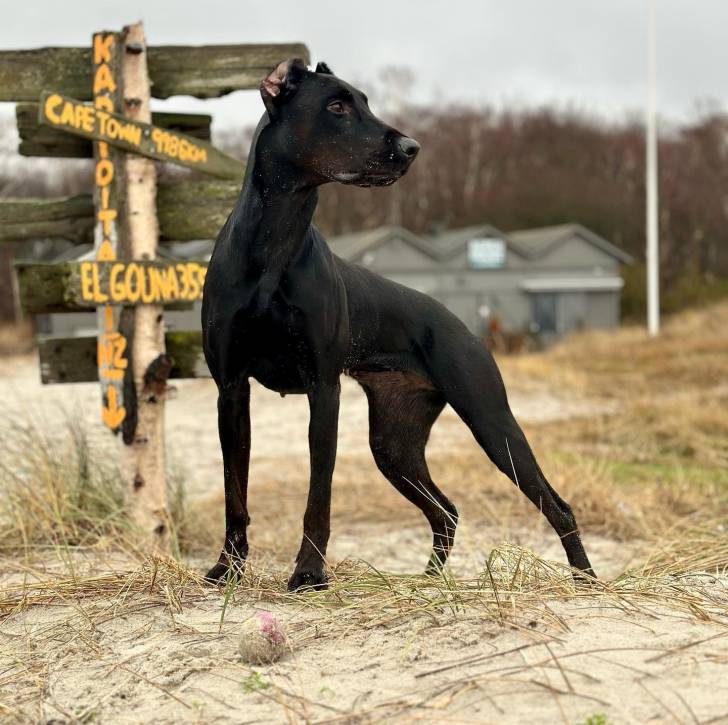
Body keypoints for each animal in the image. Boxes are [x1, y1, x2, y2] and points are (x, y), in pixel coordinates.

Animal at [202, 58, 596, 588]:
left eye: (366, 102)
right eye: (337, 106)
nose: (411, 148)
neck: (275, 239)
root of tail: (461, 324)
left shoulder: (323, 389)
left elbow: (318, 498)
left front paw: (309, 573)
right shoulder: (231, 390)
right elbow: (235, 493)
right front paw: (228, 568)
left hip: (492, 423)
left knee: (556, 505)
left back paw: (586, 582)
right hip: (395, 445)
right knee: (446, 510)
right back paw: (429, 582)